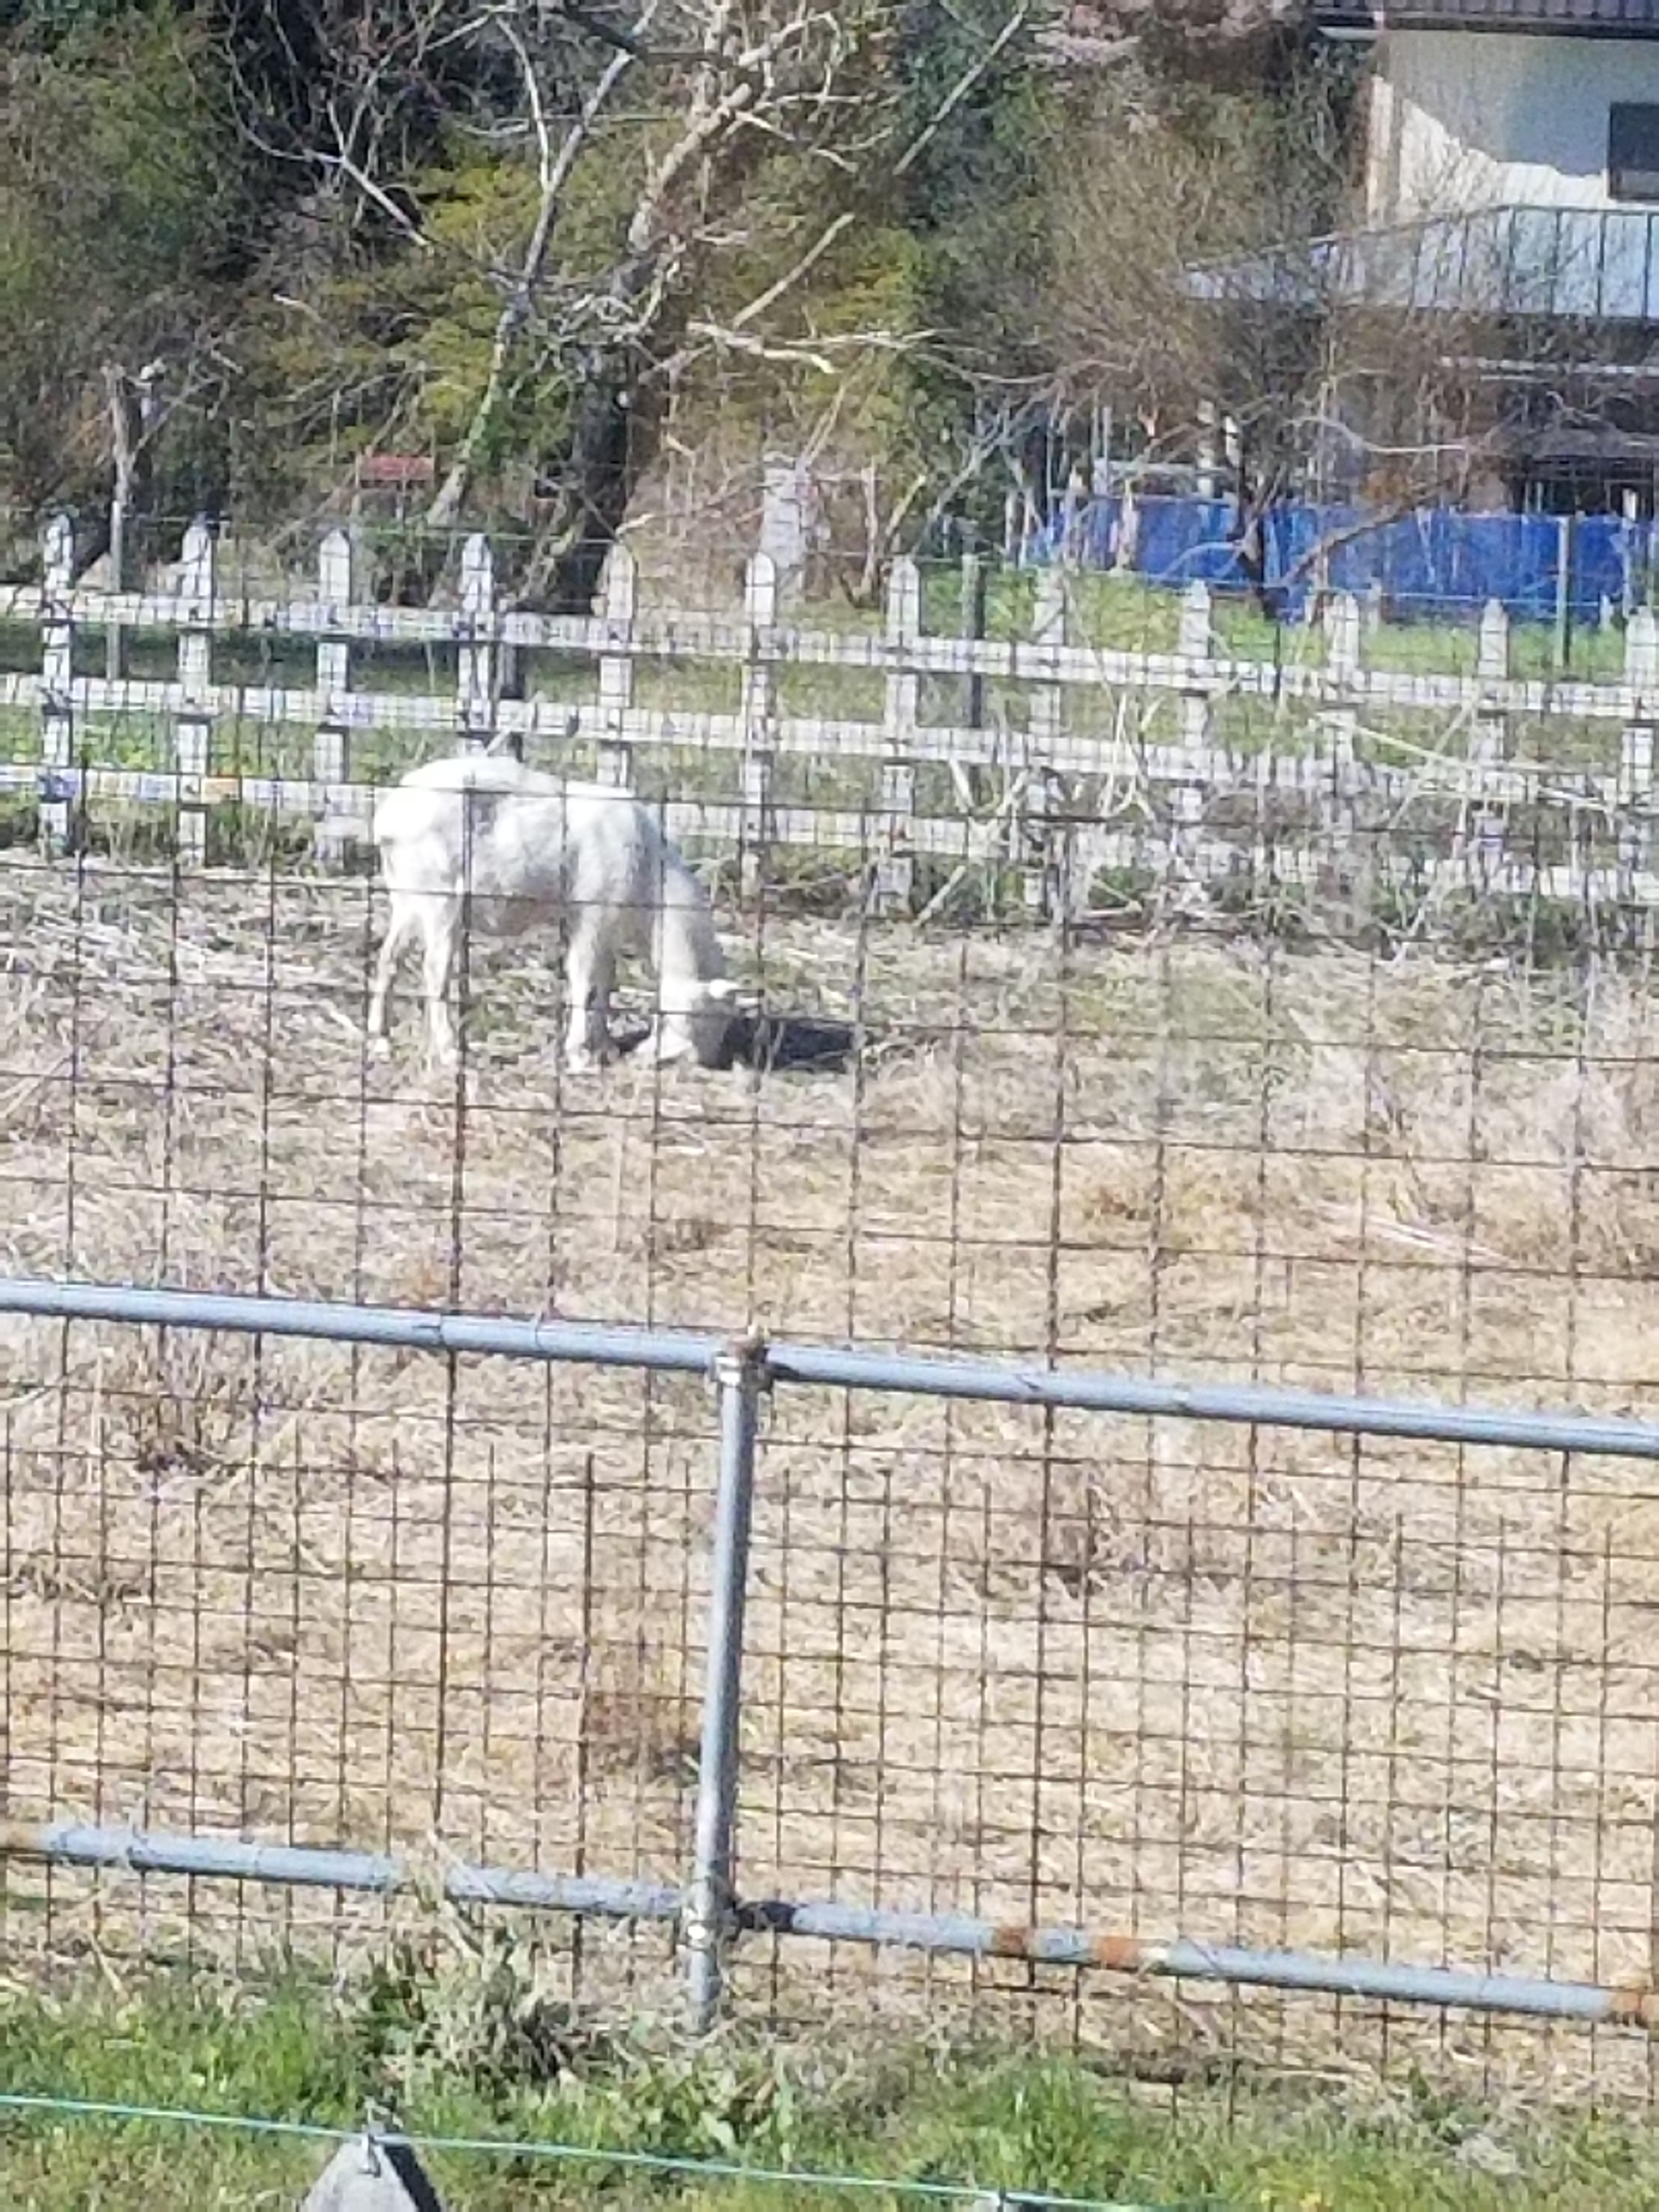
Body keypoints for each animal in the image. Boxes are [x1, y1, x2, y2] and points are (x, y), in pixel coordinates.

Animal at [362, 748, 739, 1075]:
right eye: (704, 1016)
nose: (707, 1062)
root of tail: (387, 818)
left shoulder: (606, 925)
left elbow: (605, 981)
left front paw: (604, 1046)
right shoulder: (591, 913)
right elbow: (583, 979)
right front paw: (579, 1054)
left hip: (406, 896)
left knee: (389, 959)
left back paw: (380, 1040)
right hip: (440, 897)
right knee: (434, 972)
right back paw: (448, 1049)